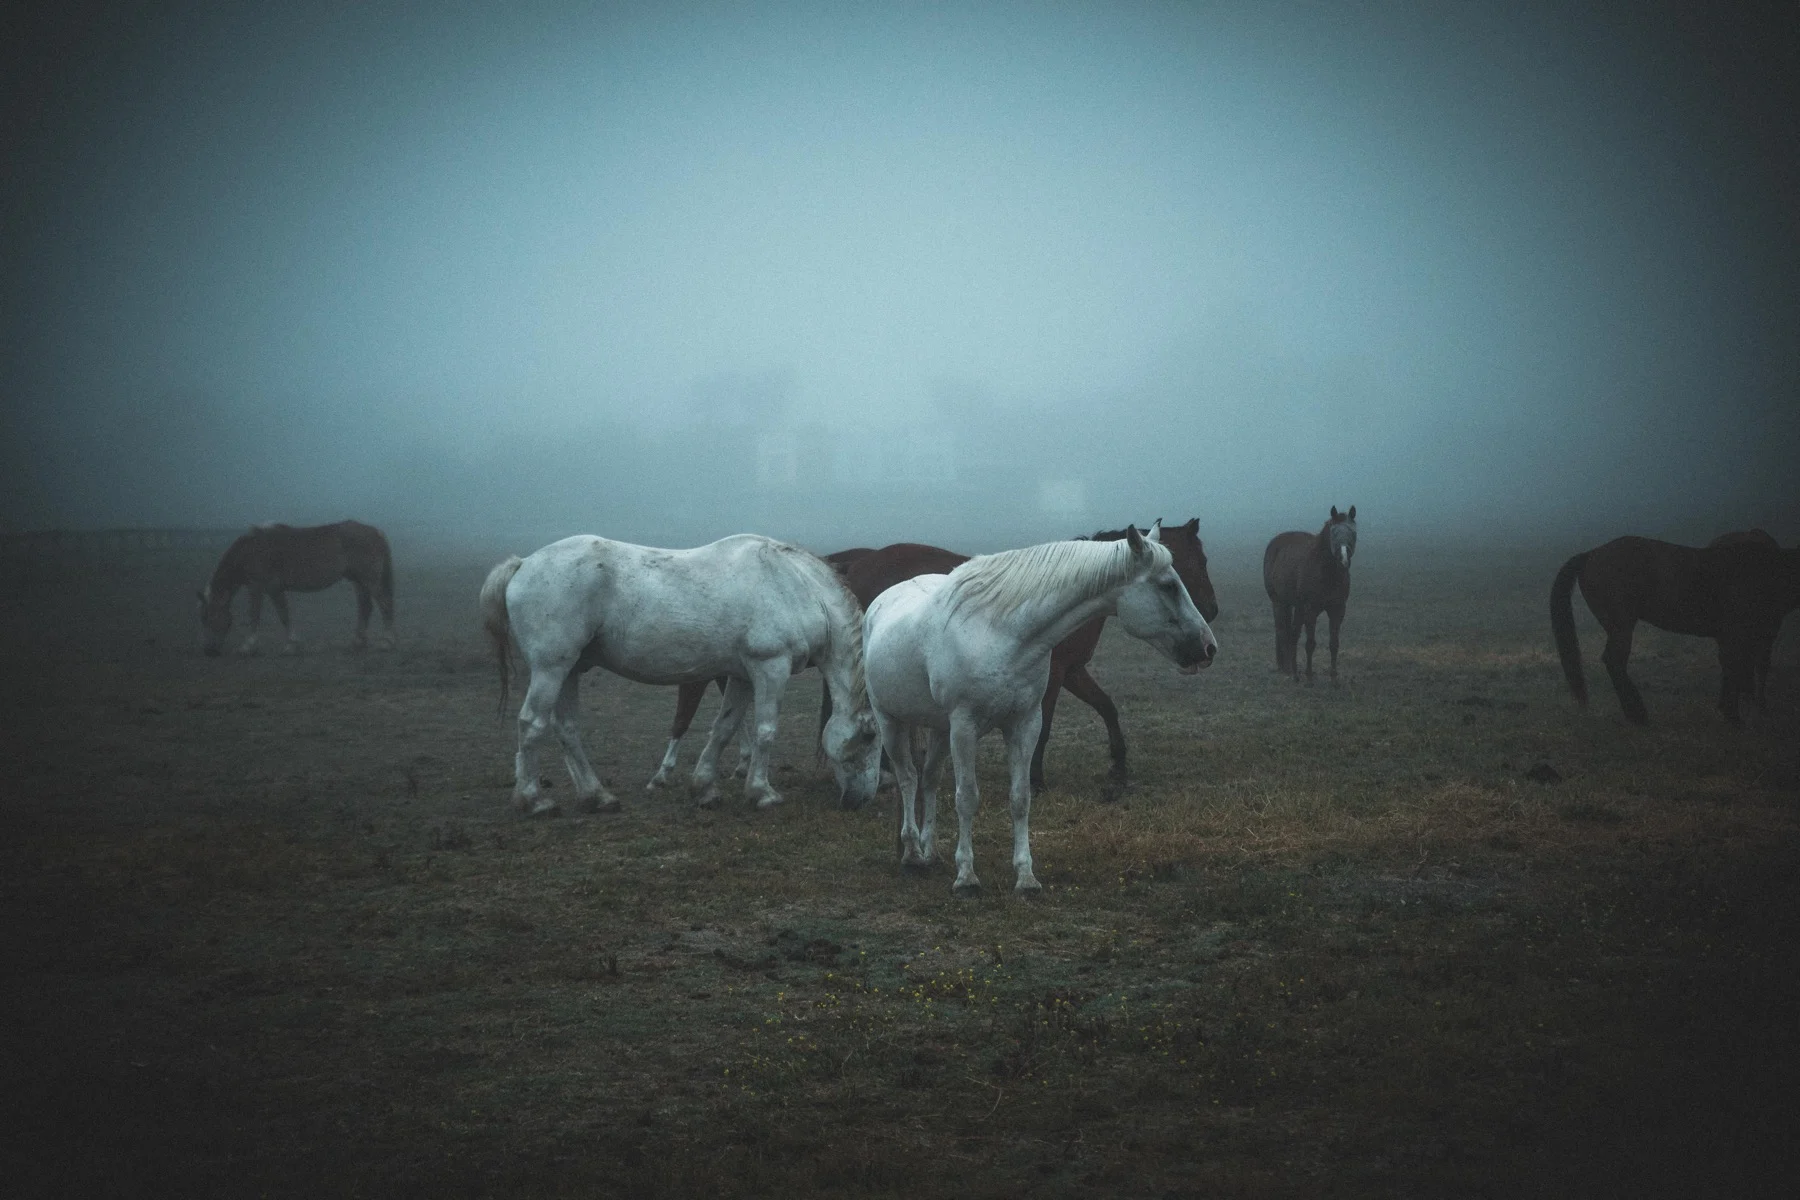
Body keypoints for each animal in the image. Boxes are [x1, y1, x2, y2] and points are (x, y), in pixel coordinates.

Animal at [197, 520, 394, 656]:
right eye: (203, 618)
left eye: (209, 617)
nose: (208, 651)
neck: (251, 551)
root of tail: (376, 532)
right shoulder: (275, 589)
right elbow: (284, 614)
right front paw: (292, 644)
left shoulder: (258, 587)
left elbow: (256, 615)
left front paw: (248, 646)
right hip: (358, 581)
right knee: (365, 607)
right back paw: (358, 642)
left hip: (369, 581)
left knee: (384, 605)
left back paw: (386, 642)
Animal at [860, 525, 1218, 894]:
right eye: (1169, 585)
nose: (1208, 646)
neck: (1003, 633)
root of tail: (883, 599)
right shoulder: (964, 727)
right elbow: (966, 798)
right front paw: (967, 876)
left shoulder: (1024, 723)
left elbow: (1021, 798)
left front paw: (1025, 876)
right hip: (892, 721)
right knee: (907, 778)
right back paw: (912, 854)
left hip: (938, 728)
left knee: (929, 779)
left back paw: (930, 851)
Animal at [1263, 506, 1357, 682]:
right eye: (1333, 532)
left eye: (1353, 532)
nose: (1343, 559)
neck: (1327, 572)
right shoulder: (1311, 610)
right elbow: (1310, 643)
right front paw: (1309, 678)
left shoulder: (1337, 610)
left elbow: (1334, 643)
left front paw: (1334, 678)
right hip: (1280, 603)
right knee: (1283, 631)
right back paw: (1288, 670)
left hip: (1298, 607)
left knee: (1293, 634)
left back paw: (1294, 671)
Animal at [1551, 534, 1800, 724]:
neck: (1766, 571)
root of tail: (1591, 554)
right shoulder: (1748, 634)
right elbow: (1743, 667)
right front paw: (1736, 713)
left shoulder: (1734, 636)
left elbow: (1734, 666)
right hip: (1621, 627)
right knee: (1614, 661)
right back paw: (1637, 713)